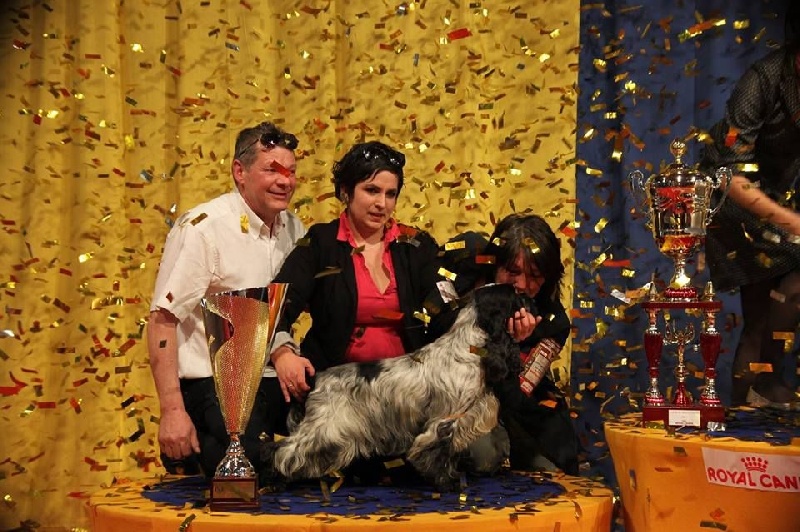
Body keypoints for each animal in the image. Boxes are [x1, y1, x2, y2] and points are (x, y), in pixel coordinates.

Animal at [261, 283, 529, 491]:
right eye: (515, 292)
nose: (529, 296)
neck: (468, 348)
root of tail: (316, 379)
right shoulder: (444, 420)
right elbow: (436, 451)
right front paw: (447, 482)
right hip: (326, 427)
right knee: (282, 450)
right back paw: (275, 480)